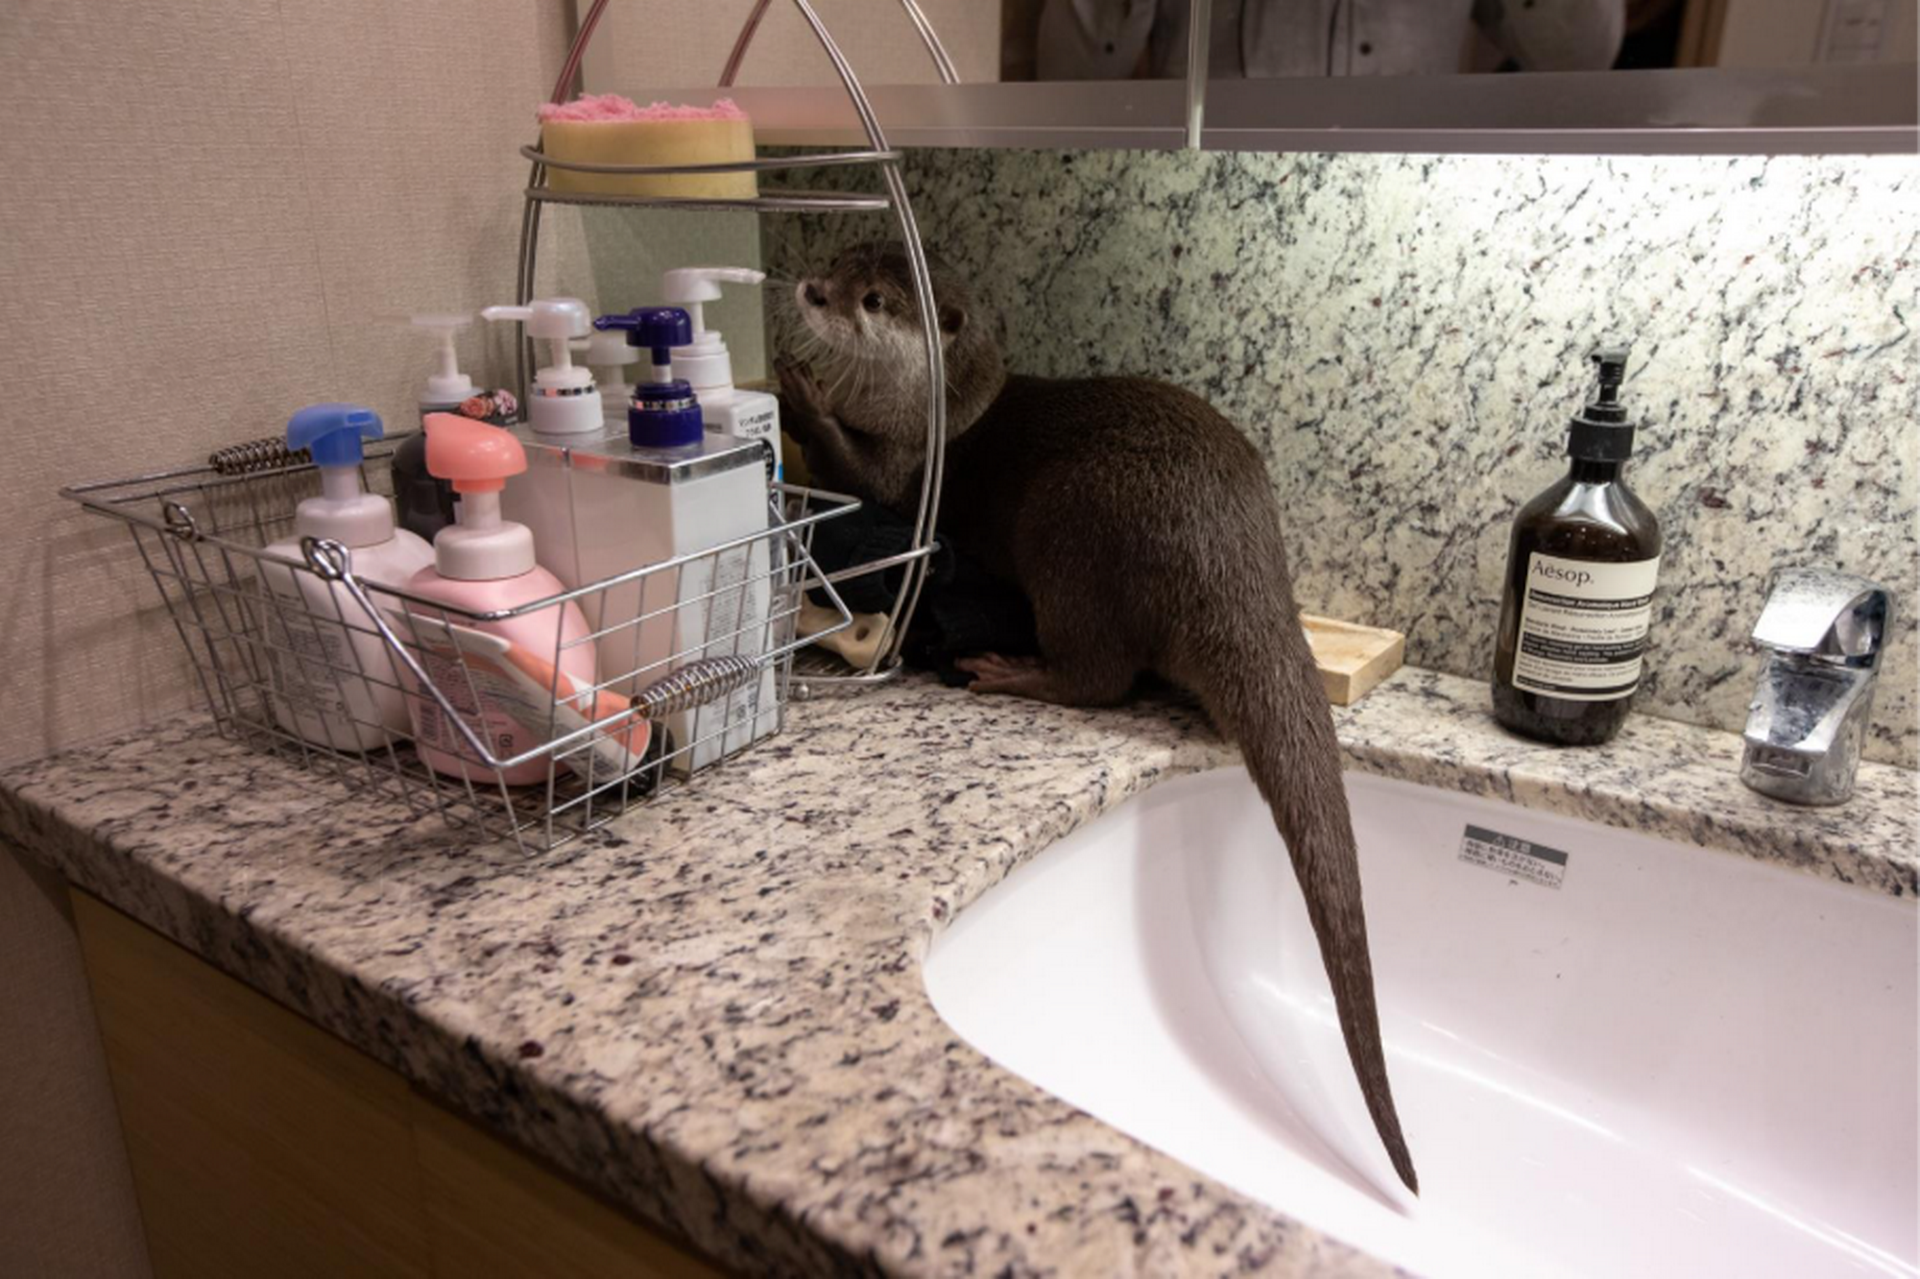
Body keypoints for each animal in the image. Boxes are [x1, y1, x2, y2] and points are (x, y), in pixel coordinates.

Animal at [777, 242, 1417, 1194]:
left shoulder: (913, 471)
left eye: (876, 299)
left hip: (1071, 523)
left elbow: (862, 488)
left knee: (1101, 678)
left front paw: (801, 391)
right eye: (839, 261)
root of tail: (1232, 553)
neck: (937, 414)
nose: (810, 289)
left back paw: (1008, 671)